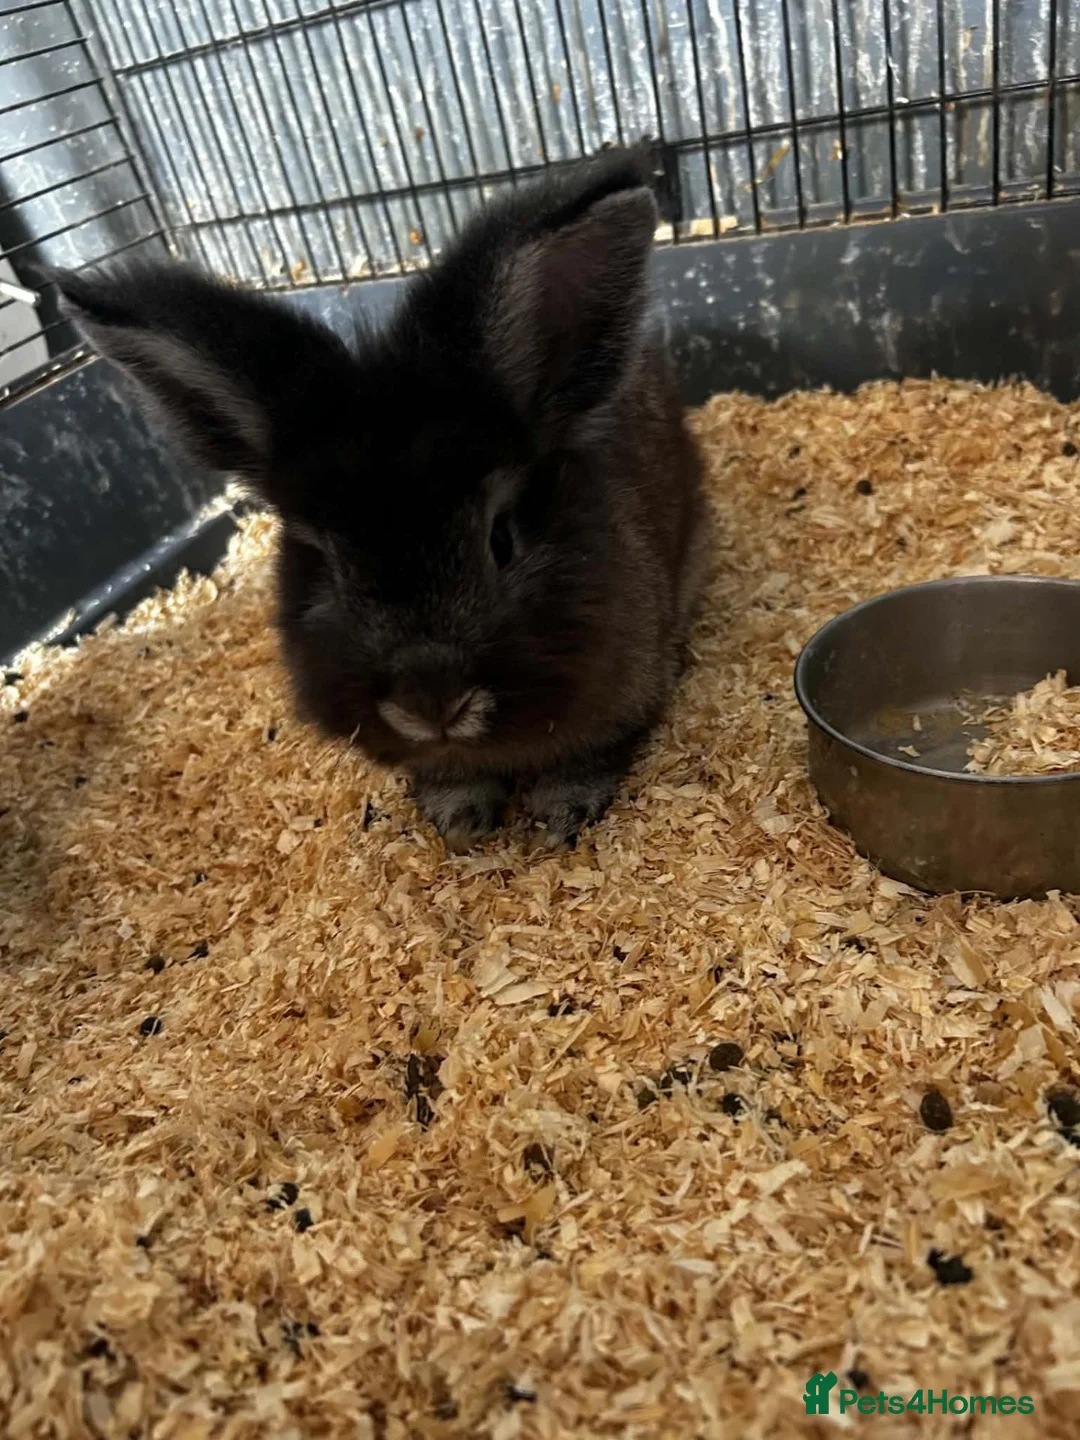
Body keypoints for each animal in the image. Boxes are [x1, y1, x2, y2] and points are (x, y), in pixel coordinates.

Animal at [55, 146, 709, 852]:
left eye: (501, 540)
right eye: (327, 562)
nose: (431, 701)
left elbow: (583, 762)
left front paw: (556, 820)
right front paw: (462, 823)